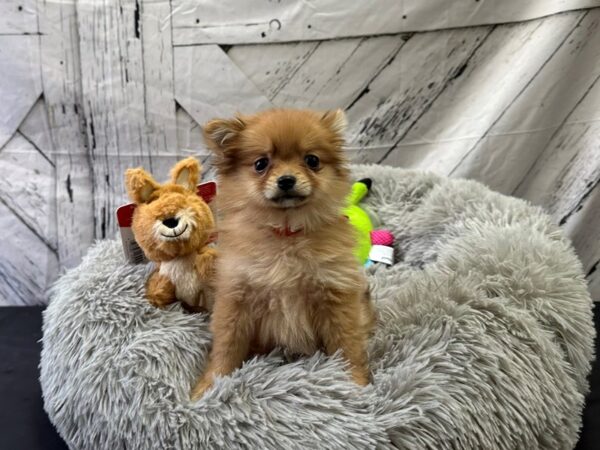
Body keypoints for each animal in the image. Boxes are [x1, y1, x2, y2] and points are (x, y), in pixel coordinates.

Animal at [192, 108, 372, 398]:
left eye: (312, 160)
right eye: (261, 163)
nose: (287, 180)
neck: (286, 236)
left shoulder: (337, 295)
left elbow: (347, 345)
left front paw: (356, 386)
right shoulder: (236, 299)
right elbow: (226, 348)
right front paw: (209, 387)